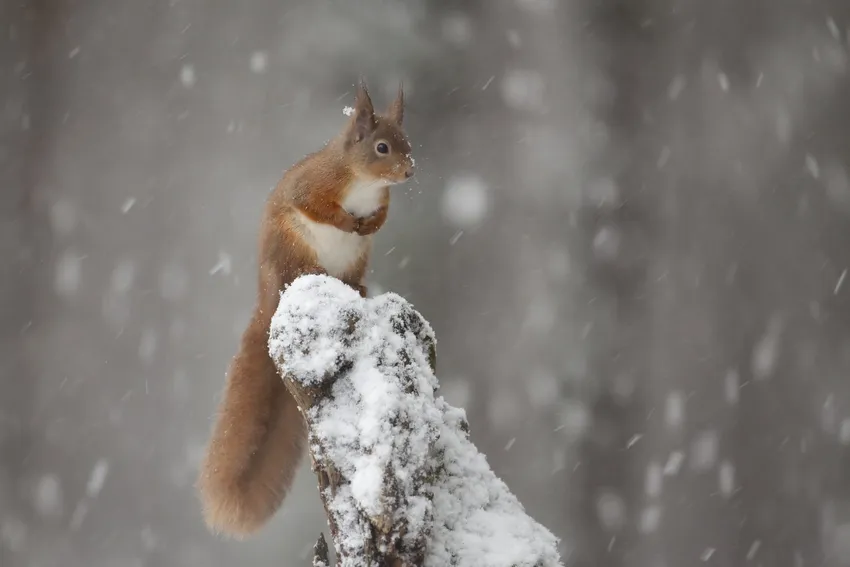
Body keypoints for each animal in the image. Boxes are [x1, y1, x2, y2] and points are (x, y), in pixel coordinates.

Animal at [196, 81, 414, 538]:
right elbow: (317, 206)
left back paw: (358, 287)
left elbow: (382, 216)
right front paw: (349, 222)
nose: (410, 171)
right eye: (382, 147)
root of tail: (267, 299)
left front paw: (369, 224)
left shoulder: (382, 200)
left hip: (355, 261)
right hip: (293, 248)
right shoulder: (315, 184)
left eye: (408, 142)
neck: (363, 182)